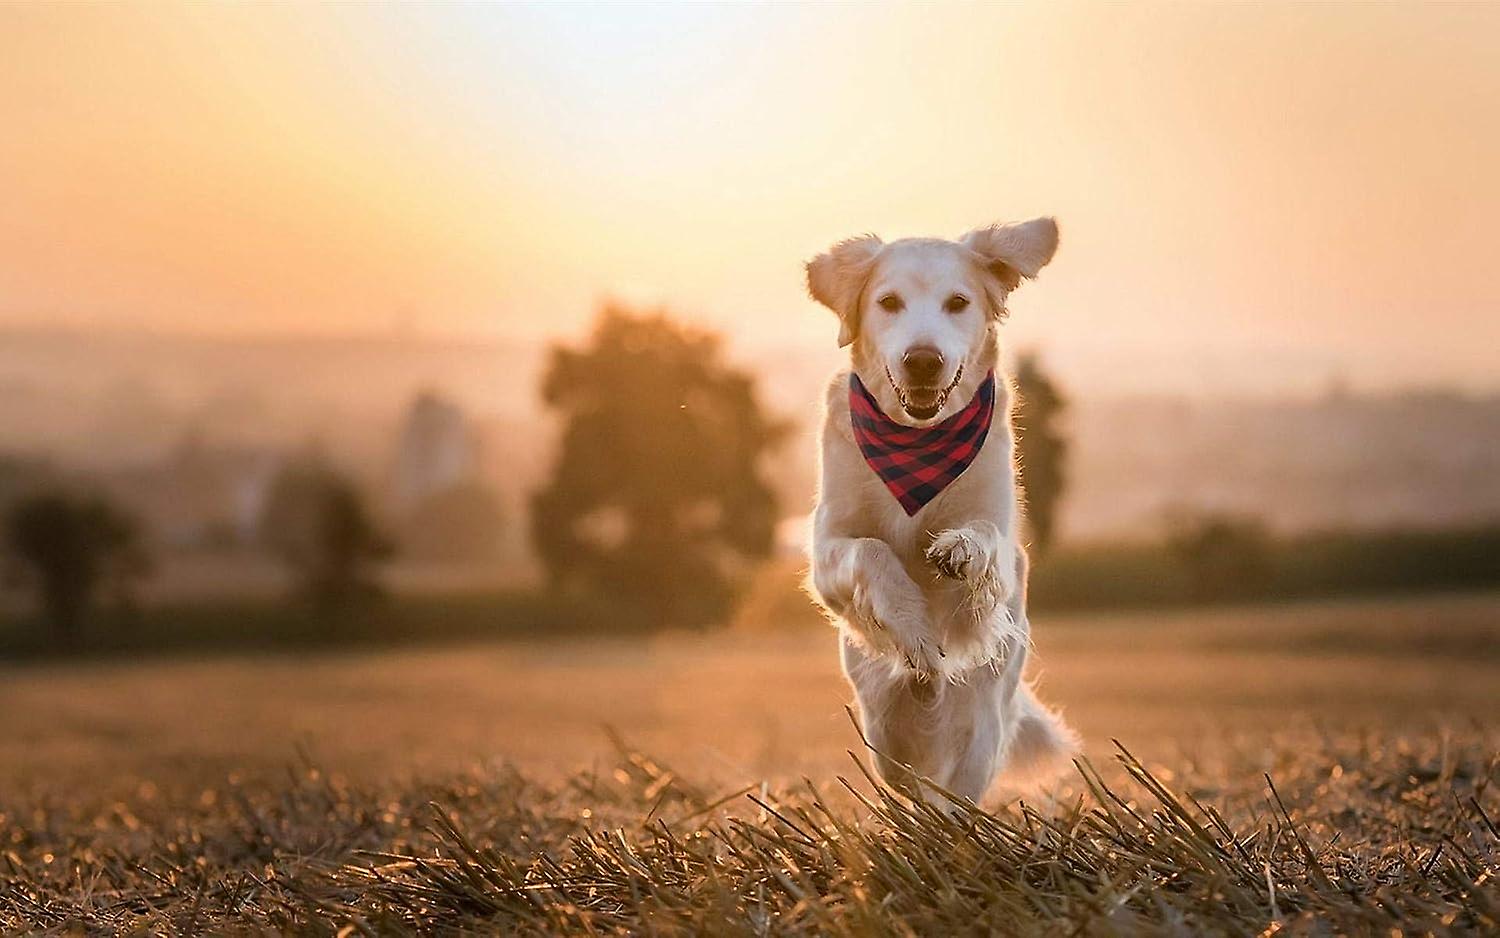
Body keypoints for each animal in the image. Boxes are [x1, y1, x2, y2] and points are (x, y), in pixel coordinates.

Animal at [810, 219, 1080, 804]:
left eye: (958, 302)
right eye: (888, 302)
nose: (923, 360)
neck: (916, 441)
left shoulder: (1000, 539)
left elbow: (984, 540)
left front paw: (959, 550)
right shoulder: (825, 550)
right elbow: (871, 550)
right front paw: (913, 629)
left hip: (985, 719)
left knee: (960, 792)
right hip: (883, 727)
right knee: (910, 784)